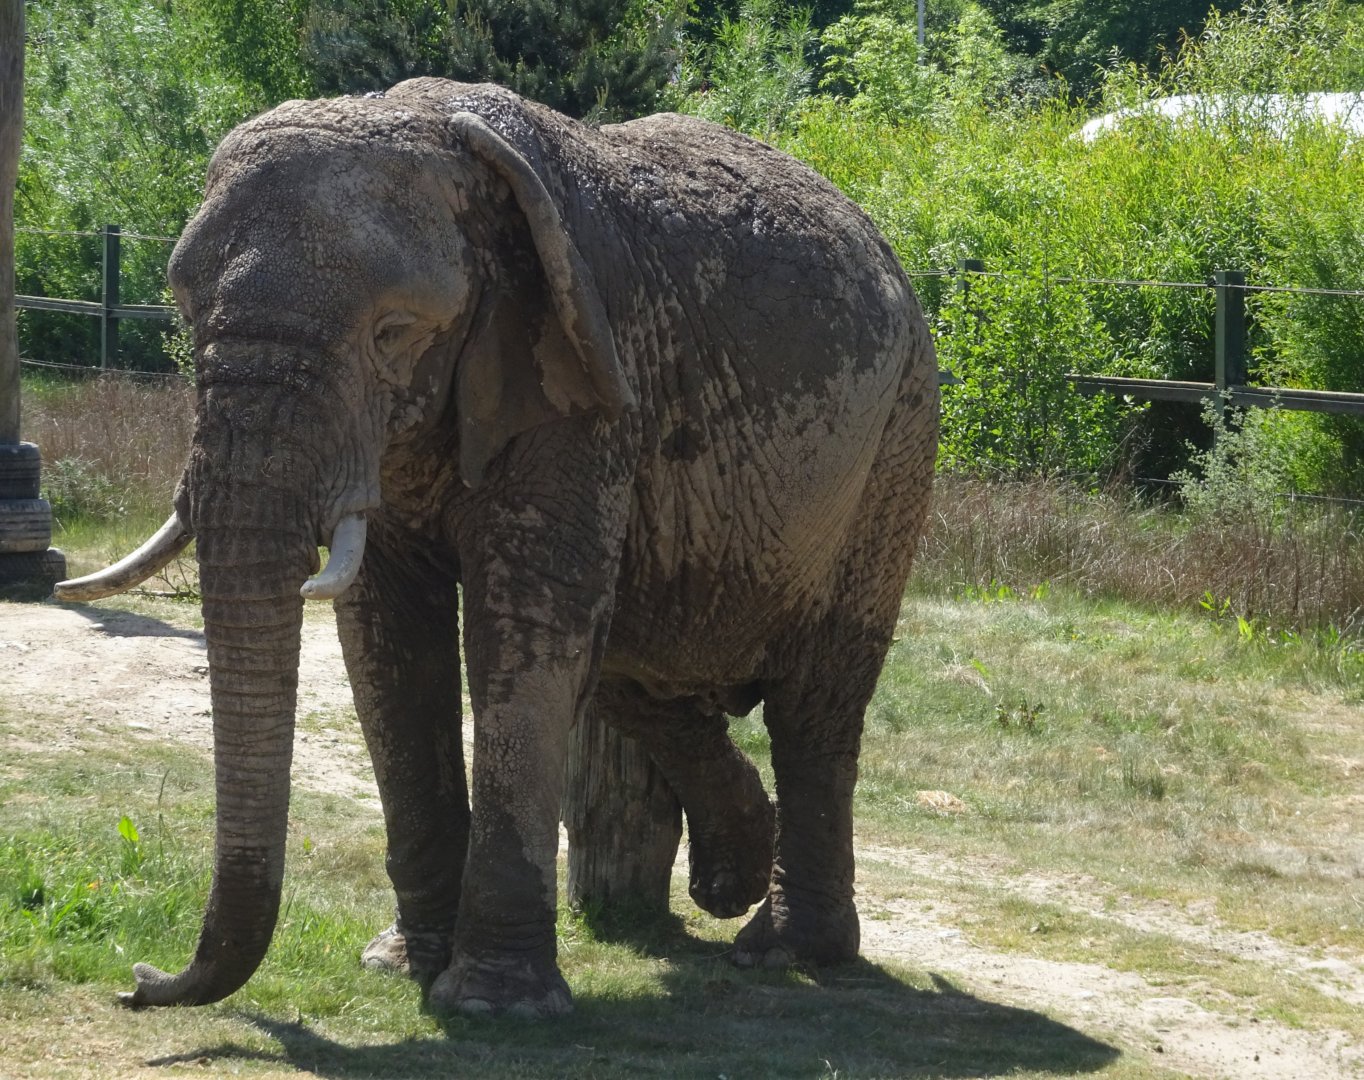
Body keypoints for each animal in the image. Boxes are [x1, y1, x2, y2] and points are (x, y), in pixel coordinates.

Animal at [56, 78, 938, 1019]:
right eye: (186, 312)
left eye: (394, 332)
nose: (139, 981)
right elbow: (388, 646)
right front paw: (403, 964)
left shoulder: (587, 377)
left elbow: (518, 632)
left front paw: (490, 1002)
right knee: (636, 671)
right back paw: (728, 883)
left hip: (896, 441)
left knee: (814, 701)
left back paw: (785, 949)